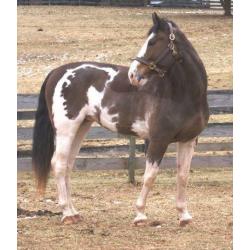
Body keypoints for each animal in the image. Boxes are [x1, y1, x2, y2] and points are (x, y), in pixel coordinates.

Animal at [32, 12, 210, 226]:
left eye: (153, 42)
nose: (133, 74)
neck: (182, 95)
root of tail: (57, 72)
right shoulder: (158, 140)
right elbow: (150, 176)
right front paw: (140, 214)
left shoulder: (188, 140)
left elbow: (183, 176)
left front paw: (184, 215)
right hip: (66, 129)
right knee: (58, 163)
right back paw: (66, 213)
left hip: (81, 127)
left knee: (67, 165)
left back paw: (74, 212)